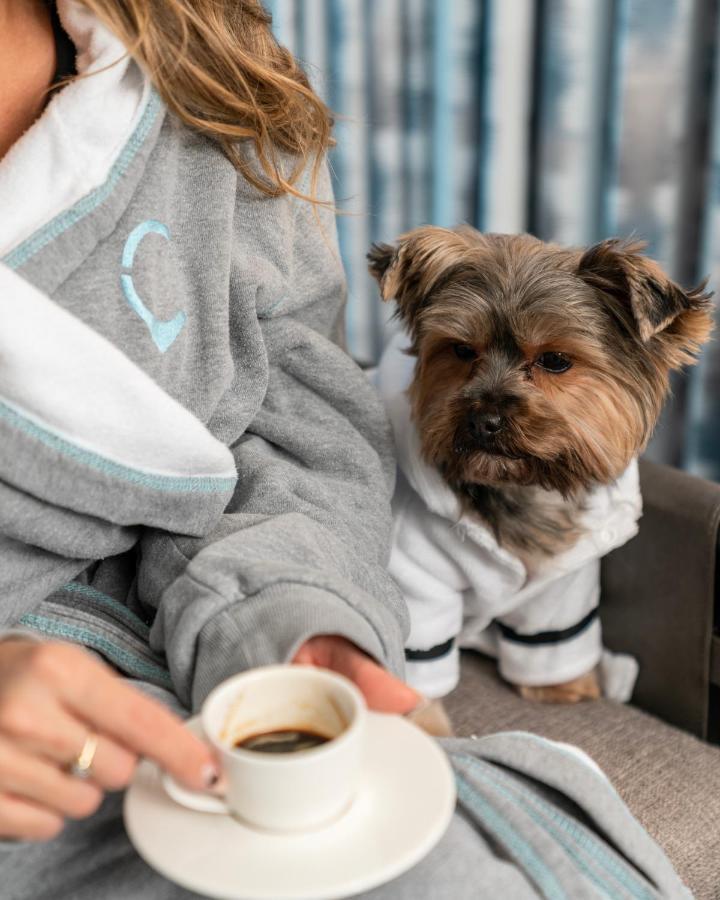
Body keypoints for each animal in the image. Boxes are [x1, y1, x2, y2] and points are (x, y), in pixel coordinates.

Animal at [372, 225, 716, 704]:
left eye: (554, 360)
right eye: (461, 350)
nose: (484, 420)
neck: (520, 488)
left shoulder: (561, 590)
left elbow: (552, 638)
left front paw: (562, 687)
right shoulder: (417, 578)